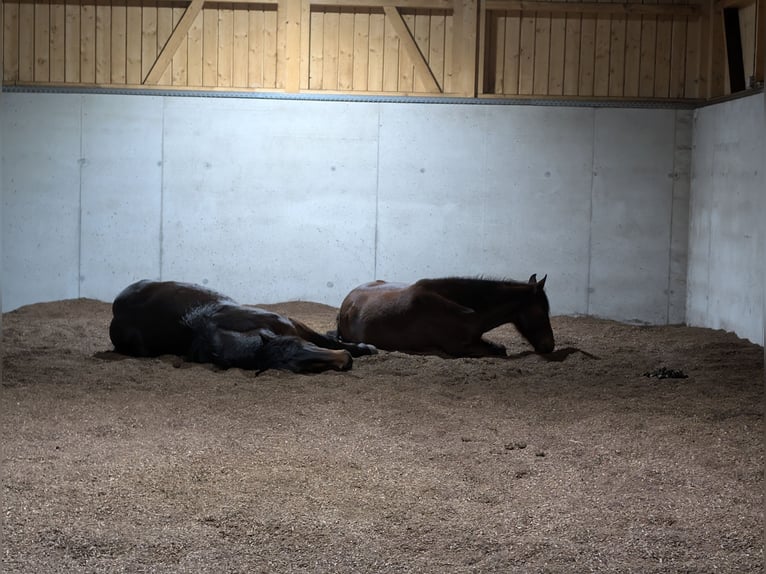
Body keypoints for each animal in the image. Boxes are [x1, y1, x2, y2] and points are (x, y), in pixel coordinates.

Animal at [109, 280, 376, 374]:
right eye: (304, 368)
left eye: (301, 345)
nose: (345, 360)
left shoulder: (294, 325)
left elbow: (326, 339)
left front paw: (365, 348)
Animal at [335, 274, 554, 358]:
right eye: (541, 312)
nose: (549, 346)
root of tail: (345, 306)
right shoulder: (460, 347)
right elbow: (498, 351)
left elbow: (499, 347)